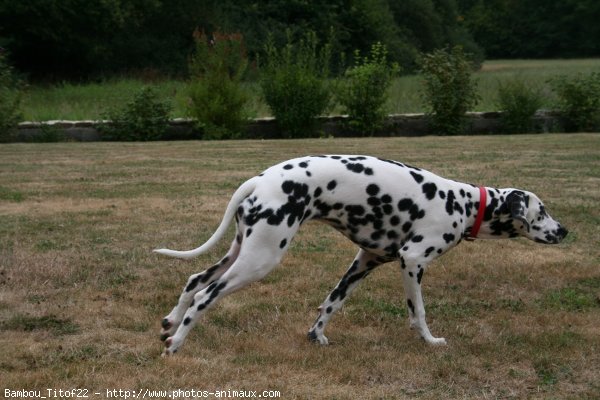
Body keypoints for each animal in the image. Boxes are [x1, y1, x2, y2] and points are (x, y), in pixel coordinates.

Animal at [155, 155, 568, 354]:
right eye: (543, 210)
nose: (565, 230)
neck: (464, 204)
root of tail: (261, 179)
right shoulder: (412, 261)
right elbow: (418, 311)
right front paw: (430, 342)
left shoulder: (363, 262)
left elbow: (331, 303)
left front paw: (316, 336)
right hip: (259, 260)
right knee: (205, 295)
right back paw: (177, 343)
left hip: (241, 252)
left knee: (194, 280)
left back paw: (169, 324)